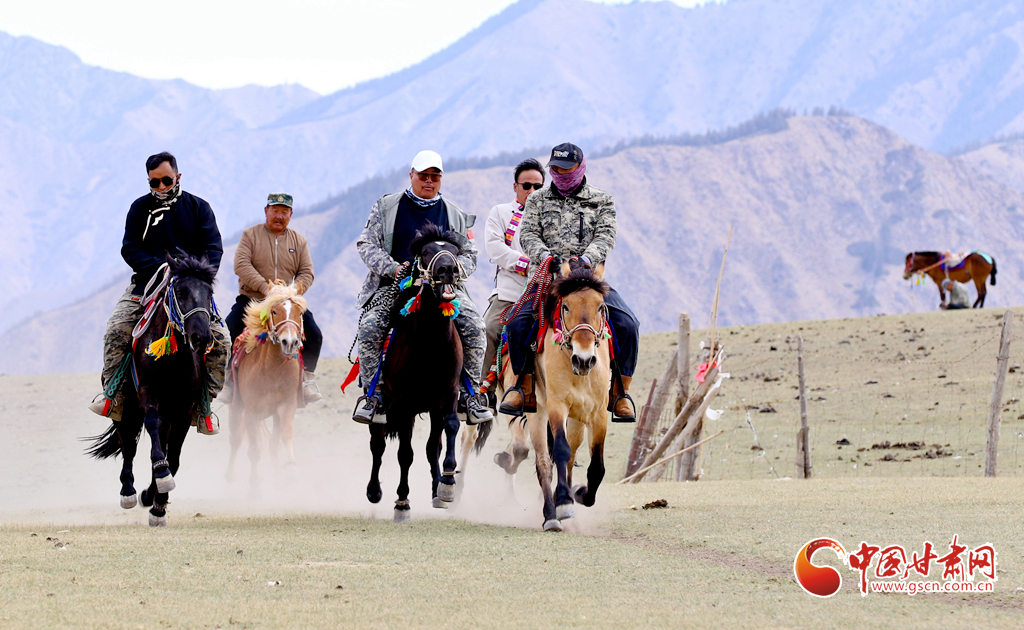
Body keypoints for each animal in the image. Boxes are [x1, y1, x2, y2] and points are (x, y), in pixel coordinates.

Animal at [86, 255, 219, 526]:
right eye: (181, 292)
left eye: (209, 293)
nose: (201, 337)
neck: (173, 359)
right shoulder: (148, 395)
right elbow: (152, 432)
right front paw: (160, 473)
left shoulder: (183, 410)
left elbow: (174, 457)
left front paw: (158, 503)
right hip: (124, 407)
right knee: (128, 444)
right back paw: (128, 492)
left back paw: (149, 494)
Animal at [224, 284, 307, 495]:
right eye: (275, 311)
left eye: (300, 313)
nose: (289, 342)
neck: (272, 369)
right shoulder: (251, 412)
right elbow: (253, 450)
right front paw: (254, 487)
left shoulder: (286, 407)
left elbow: (286, 436)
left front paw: (290, 469)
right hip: (236, 408)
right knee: (236, 439)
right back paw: (230, 477)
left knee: (272, 445)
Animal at [366, 224, 470, 522]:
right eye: (425, 252)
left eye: (455, 251)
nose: (448, 270)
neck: (431, 344)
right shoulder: (406, 403)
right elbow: (405, 453)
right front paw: (402, 502)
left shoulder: (447, 393)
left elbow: (450, 428)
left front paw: (447, 483)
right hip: (384, 404)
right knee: (378, 445)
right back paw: (374, 491)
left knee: (432, 446)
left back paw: (437, 489)